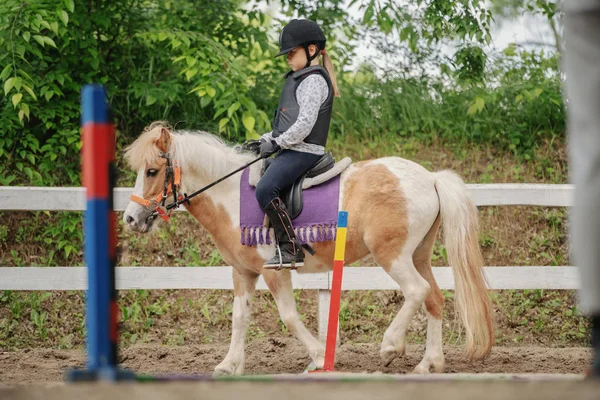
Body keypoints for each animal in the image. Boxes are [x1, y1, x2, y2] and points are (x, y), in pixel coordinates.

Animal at [120, 122, 492, 376]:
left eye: (152, 171)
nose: (130, 218)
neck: (230, 195)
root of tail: (430, 177)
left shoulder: (273, 272)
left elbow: (289, 317)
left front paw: (319, 357)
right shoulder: (243, 273)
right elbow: (240, 317)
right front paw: (229, 365)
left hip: (393, 256)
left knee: (417, 290)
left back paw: (390, 346)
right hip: (418, 255)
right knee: (434, 298)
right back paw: (429, 363)